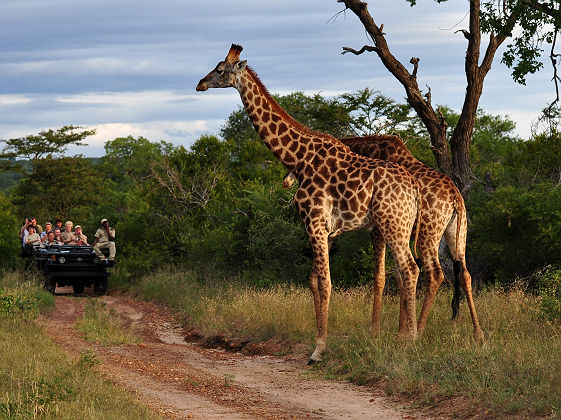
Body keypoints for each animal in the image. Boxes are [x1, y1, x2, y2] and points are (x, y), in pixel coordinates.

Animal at [197, 44, 420, 362]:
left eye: (219, 70)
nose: (200, 83)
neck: (298, 158)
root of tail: (413, 189)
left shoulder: (314, 223)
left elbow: (326, 283)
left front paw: (319, 349)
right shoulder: (323, 229)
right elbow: (314, 282)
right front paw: (318, 341)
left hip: (393, 224)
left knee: (410, 269)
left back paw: (410, 341)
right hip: (398, 226)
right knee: (404, 272)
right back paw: (406, 336)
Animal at [284, 135, 482, 342]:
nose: (286, 182)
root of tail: (455, 198)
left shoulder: (378, 229)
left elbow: (386, 275)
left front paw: (385, 330)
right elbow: (399, 275)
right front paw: (401, 330)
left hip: (428, 233)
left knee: (435, 273)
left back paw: (419, 329)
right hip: (457, 233)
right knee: (465, 274)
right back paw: (478, 333)